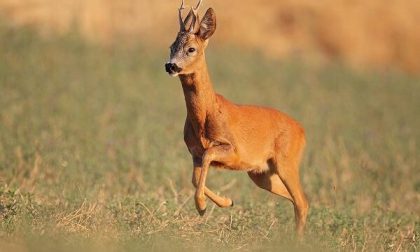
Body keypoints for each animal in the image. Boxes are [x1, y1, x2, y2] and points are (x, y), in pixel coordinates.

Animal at [166, 0, 310, 236]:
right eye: (171, 47)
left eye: (191, 49)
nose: (171, 65)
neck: (206, 115)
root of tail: (302, 131)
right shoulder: (194, 152)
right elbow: (195, 177)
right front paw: (226, 202)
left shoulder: (232, 149)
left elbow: (208, 157)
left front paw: (202, 206)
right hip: (261, 173)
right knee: (298, 199)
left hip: (286, 160)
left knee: (301, 201)